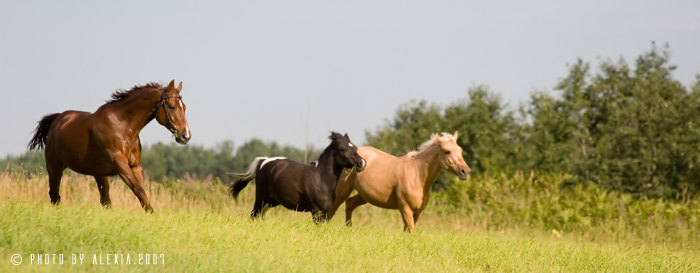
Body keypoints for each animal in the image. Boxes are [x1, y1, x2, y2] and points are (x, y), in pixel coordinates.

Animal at [27, 79, 190, 211]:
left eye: (184, 107)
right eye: (171, 106)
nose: (185, 136)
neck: (124, 126)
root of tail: (57, 120)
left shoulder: (135, 166)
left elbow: (142, 192)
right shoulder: (120, 164)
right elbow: (138, 190)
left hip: (99, 174)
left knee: (104, 200)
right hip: (55, 168)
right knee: (54, 195)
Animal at [232, 132, 370, 223]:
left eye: (355, 147)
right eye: (343, 148)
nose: (362, 163)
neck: (321, 179)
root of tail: (264, 161)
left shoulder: (325, 212)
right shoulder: (316, 211)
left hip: (270, 202)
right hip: (261, 199)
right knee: (253, 215)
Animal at [330, 131, 474, 232]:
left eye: (460, 150)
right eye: (447, 151)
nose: (465, 171)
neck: (417, 176)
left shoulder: (418, 211)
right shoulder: (405, 208)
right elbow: (410, 230)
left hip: (364, 196)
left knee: (349, 204)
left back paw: (349, 229)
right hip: (343, 190)